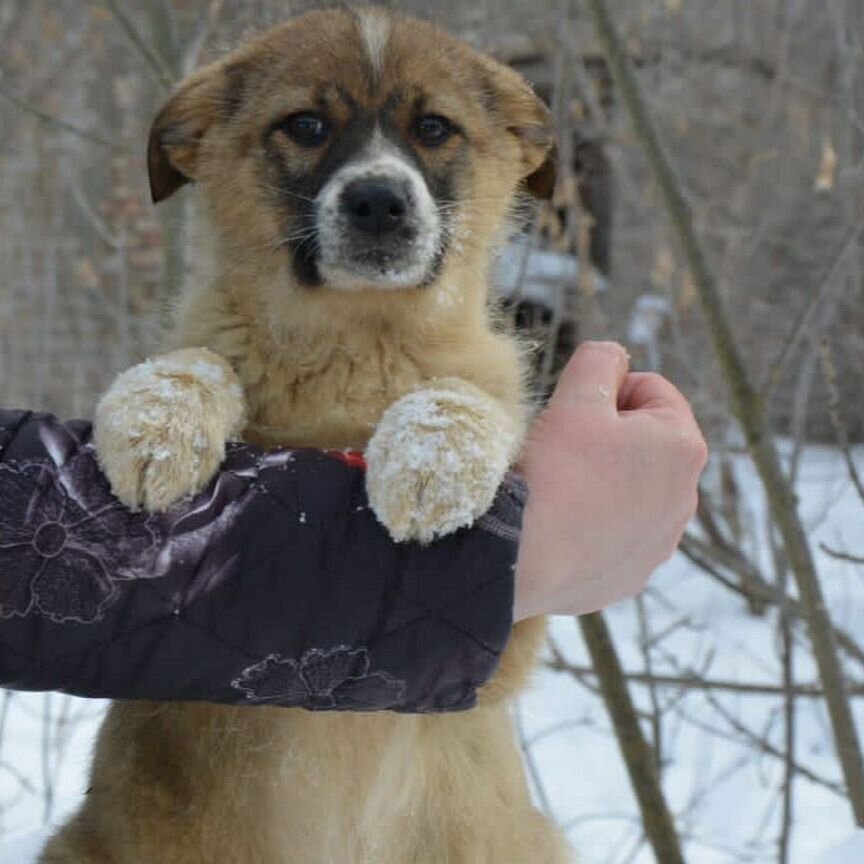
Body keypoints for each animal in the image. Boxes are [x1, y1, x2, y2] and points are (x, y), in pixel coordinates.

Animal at [44, 8, 576, 864]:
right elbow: (200, 357)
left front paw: (429, 462)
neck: (349, 346)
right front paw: (157, 421)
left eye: (434, 127)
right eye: (305, 124)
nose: (379, 203)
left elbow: (465, 390)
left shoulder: (505, 648)